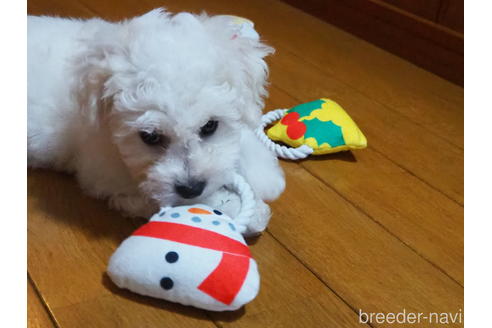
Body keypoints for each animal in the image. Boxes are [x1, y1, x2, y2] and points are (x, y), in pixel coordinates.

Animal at [26, 7, 286, 233]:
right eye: (149, 137)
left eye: (210, 126)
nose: (191, 188)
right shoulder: (106, 169)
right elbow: (189, 202)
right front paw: (248, 212)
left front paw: (267, 177)